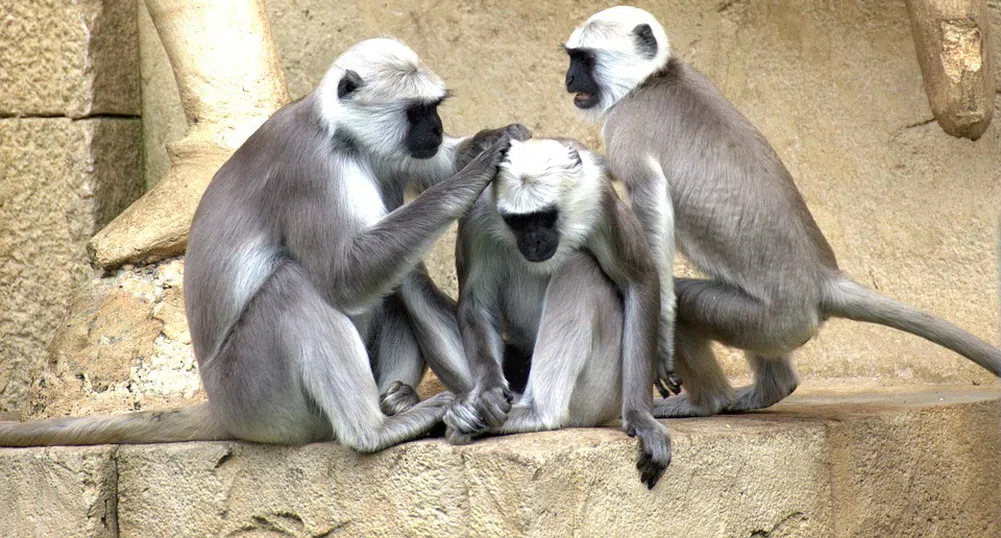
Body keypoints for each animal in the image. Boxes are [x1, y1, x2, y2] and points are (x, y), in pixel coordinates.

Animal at [0, 36, 532, 448]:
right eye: (417, 112)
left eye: (434, 111)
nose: (437, 127)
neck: (339, 134)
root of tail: (220, 405)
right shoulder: (311, 169)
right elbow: (345, 276)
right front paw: (477, 172)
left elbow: (434, 168)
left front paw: (494, 138)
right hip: (258, 395)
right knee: (298, 285)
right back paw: (376, 430)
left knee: (399, 277)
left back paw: (401, 400)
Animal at [442, 137, 668, 486]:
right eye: (518, 222)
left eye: (545, 218)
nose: (533, 241)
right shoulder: (477, 212)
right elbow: (474, 302)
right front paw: (488, 391)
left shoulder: (598, 197)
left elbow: (639, 280)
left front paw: (641, 417)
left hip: (600, 391)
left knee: (579, 266)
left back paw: (537, 413)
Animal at [564, 6, 1001, 414]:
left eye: (583, 60)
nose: (568, 79)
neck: (654, 78)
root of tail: (822, 280)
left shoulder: (626, 126)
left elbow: (651, 208)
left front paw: (659, 343)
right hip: (770, 326)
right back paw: (771, 389)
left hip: (771, 320)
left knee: (686, 301)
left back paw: (706, 402)